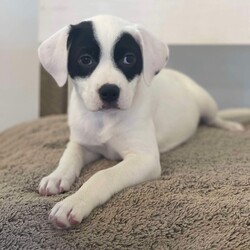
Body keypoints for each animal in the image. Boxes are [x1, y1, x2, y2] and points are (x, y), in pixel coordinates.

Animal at [38, 14, 249, 229]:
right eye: (85, 59)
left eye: (128, 59)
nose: (109, 91)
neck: (105, 118)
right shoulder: (82, 143)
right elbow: (69, 156)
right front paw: (56, 176)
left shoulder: (144, 158)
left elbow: (103, 175)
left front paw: (74, 202)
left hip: (205, 102)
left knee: (214, 117)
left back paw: (229, 124)